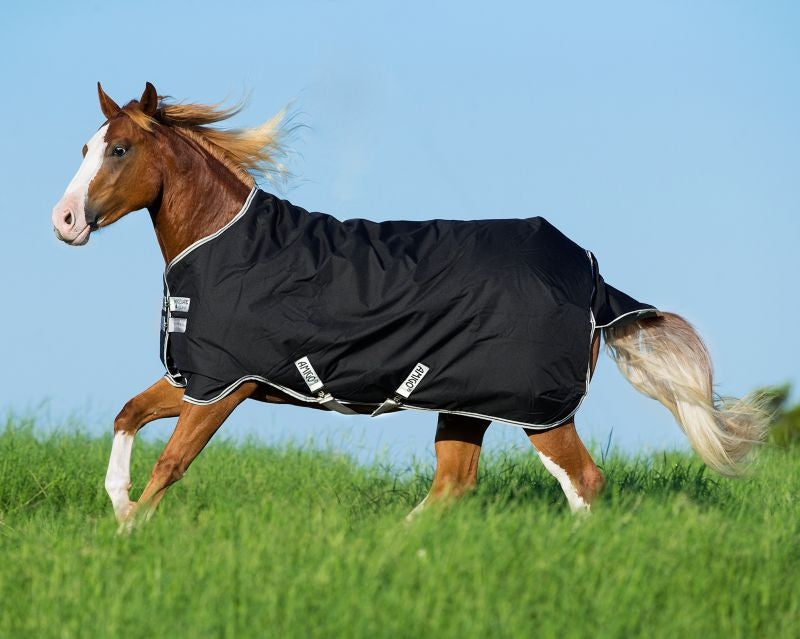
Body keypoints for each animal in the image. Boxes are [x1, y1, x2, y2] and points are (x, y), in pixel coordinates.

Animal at [52, 83, 767, 527]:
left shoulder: (224, 385)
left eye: (120, 149)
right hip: (467, 403)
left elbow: (170, 464)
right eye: (85, 147)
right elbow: (127, 415)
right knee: (454, 486)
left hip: (537, 409)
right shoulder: (201, 379)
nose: (64, 221)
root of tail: (593, 279)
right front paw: (119, 514)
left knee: (583, 484)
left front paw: (129, 535)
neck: (225, 244)